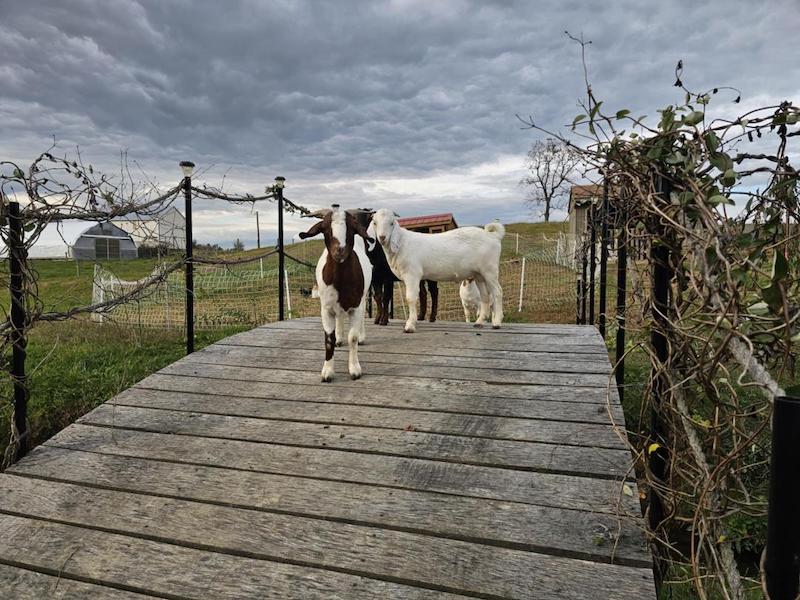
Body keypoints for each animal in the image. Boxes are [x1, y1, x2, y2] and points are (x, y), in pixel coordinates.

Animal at [299, 205, 373, 381]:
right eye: (324, 228)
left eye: (352, 228)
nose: (339, 251)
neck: (340, 280)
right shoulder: (325, 309)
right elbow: (328, 339)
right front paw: (327, 371)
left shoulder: (356, 306)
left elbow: (352, 337)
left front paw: (354, 369)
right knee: (339, 317)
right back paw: (339, 338)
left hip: (364, 296)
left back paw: (361, 337)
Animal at [371, 208, 505, 332]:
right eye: (375, 223)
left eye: (391, 223)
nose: (382, 237)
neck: (402, 243)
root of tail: (493, 236)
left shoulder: (412, 274)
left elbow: (410, 298)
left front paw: (410, 325)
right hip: (479, 274)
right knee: (485, 296)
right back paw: (479, 322)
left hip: (490, 270)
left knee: (497, 292)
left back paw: (497, 322)